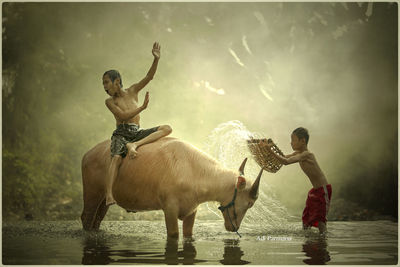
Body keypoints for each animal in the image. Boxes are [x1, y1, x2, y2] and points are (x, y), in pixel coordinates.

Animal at [81, 137, 262, 240]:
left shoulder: (192, 211)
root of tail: (87, 154)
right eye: (249, 203)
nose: (235, 228)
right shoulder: (169, 208)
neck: (194, 170)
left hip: (103, 200)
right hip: (92, 193)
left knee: (96, 220)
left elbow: (188, 234)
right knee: (86, 218)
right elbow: (173, 235)